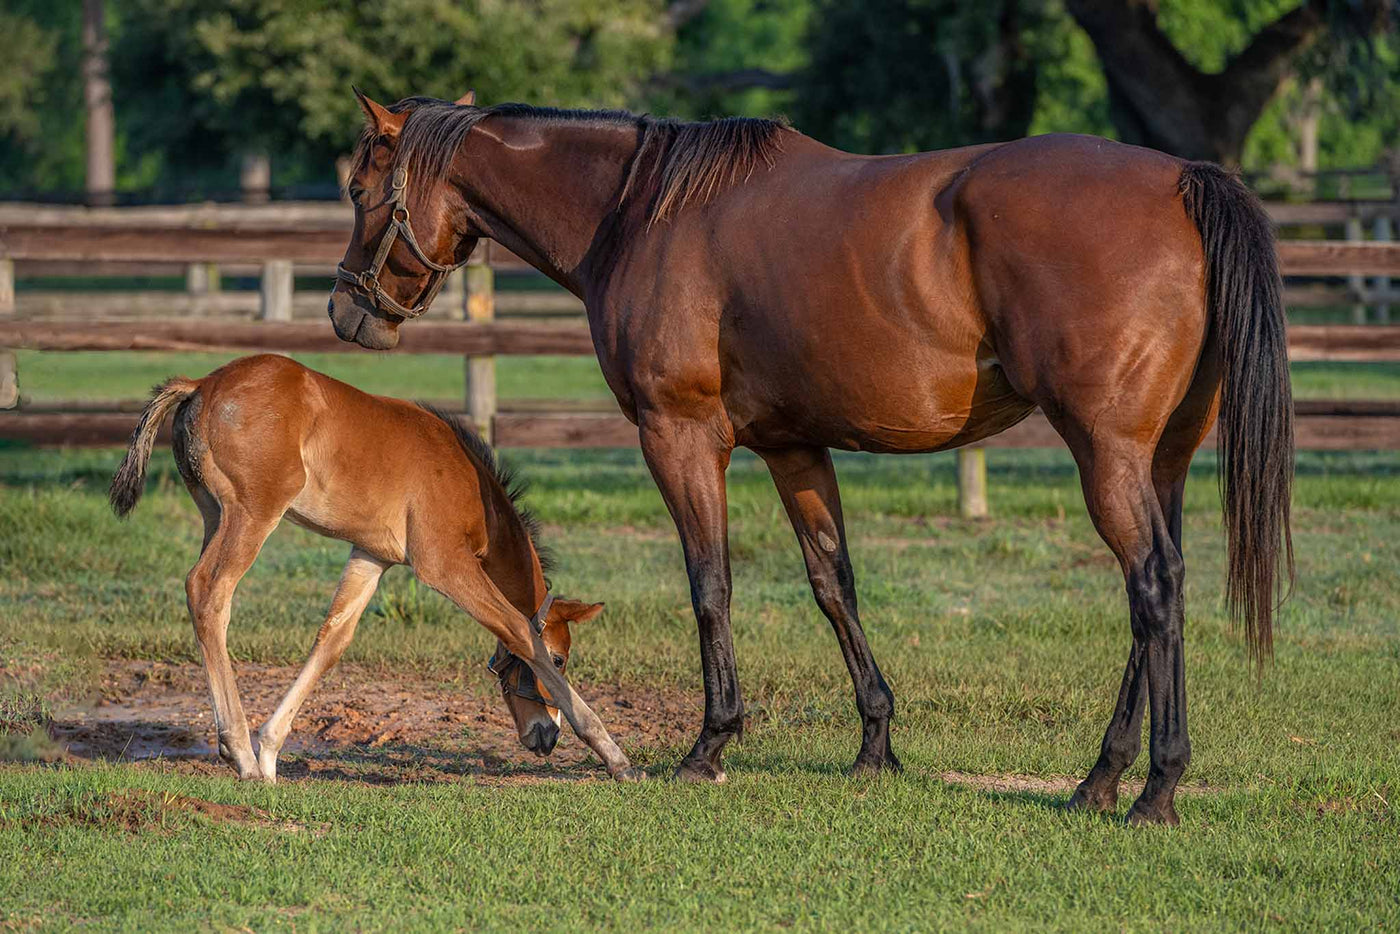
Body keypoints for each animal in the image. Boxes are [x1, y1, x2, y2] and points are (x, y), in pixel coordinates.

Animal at [114, 354, 641, 784]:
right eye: (560, 659)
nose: (545, 737)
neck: (469, 482)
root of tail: (202, 384)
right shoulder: (443, 563)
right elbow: (516, 627)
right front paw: (613, 754)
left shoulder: (372, 555)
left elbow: (333, 639)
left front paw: (271, 752)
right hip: (253, 512)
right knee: (208, 590)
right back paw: (236, 749)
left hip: (214, 513)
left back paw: (249, 753)